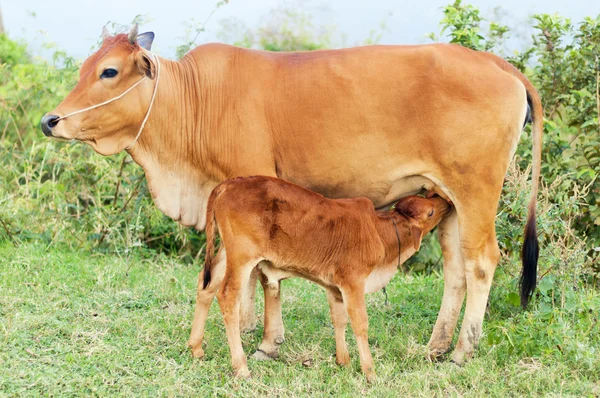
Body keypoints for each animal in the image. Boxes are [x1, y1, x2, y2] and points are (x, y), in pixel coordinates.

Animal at [192, 176, 450, 380]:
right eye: (430, 211)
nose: (446, 201)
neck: (380, 232)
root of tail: (228, 184)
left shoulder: (335, 287)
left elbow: (339, 319)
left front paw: (343, 361)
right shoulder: (353, 283)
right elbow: (360, 323)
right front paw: (370, 372)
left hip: (226, 253)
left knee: (206, 286)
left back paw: (196, 348)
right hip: (242, 257)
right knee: (227, 296)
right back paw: (241, 367)